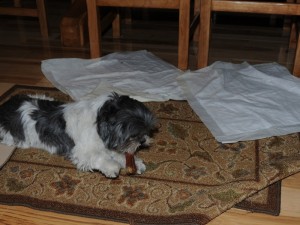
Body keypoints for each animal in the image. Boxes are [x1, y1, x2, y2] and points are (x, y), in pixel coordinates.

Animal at [0, 92, 157, 178]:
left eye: (146, 131)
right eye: (133, 135)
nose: (143, 140)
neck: (97, 122)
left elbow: (119, 154)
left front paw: (135, 163)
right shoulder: (82, 151)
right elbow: (99, 156)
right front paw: (111, 166)